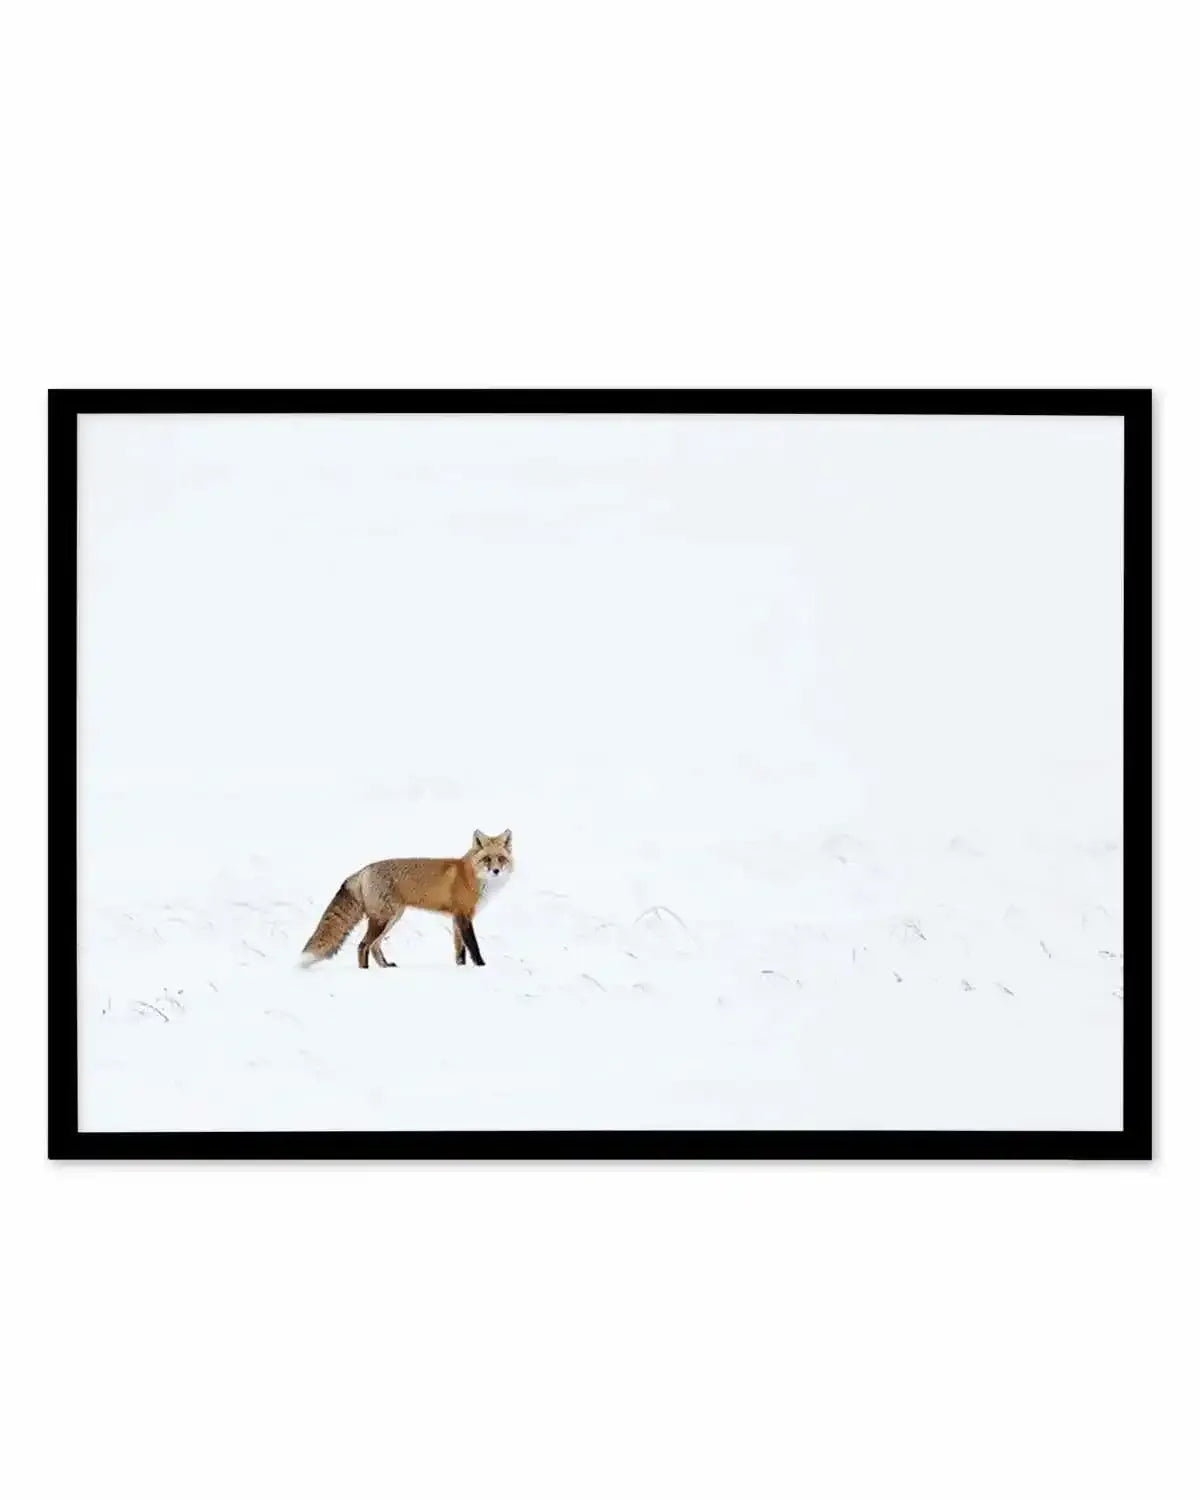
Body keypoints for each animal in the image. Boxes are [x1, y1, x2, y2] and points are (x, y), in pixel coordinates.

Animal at [300, 829, 513, 970]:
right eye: (487, 859)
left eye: (501, 859)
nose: (496, 871)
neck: (472, 876)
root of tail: (364, 870)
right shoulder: (463, 916)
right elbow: (473, 946)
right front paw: (481, 966)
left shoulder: (457, 918)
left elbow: (459, 950)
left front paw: (461, 968)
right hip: (383, 919)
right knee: (363, 945)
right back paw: (365, 972)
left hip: (392, 918)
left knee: (374, 946)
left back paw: (386, 966)